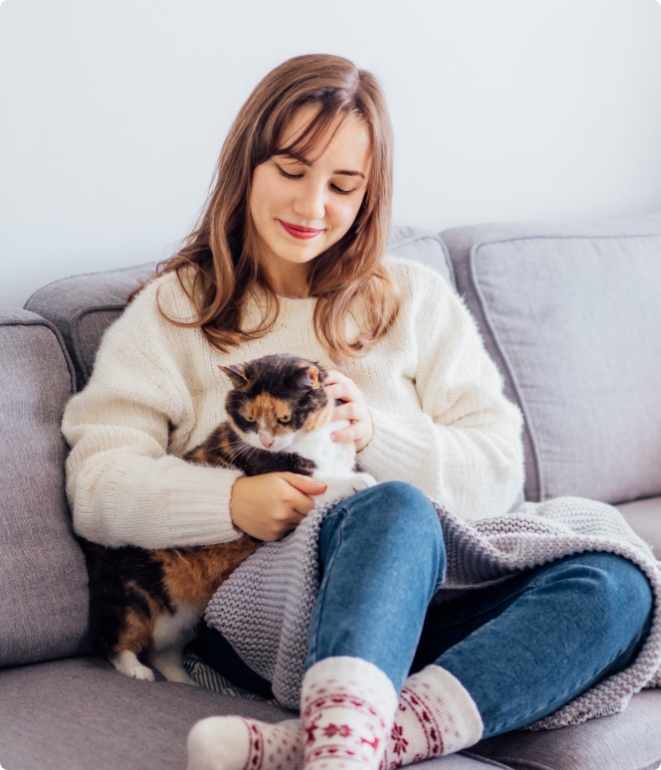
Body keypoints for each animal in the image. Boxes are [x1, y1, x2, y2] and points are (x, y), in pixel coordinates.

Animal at [81, 352, 376, 680]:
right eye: (249, 419)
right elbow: (323, 485)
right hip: (137, 600)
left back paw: (185, 681)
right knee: (118, 641)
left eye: (285, 419)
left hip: (183, 617)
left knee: (162, 650)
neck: (316, 442)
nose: (266, 441)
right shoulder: (283, 479)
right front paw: (359, 483)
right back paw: (136, 670)